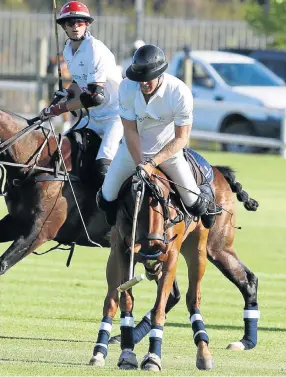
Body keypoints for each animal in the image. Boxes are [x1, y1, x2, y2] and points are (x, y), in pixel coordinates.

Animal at [90, 164, 260, 370]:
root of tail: (217, 170)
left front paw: (153, 357)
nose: (152, 269)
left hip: (207, 248)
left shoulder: (170, 256)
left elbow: (158, 307)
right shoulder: (119, 253)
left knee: (194, 296)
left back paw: (212, 350)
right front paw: (106, 352)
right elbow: (117, 301)